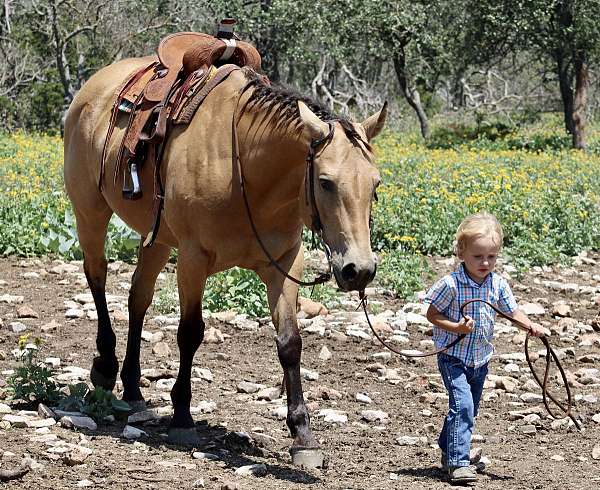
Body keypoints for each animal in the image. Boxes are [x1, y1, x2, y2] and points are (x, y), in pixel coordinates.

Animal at [63, 42, 386, 468]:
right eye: (325, 182)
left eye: (375, 184)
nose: (358, 270)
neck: (247, 169)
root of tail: (91, 89)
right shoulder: (192, 259)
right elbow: (190, 333)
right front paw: (182, 416)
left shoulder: (284, 263)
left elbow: (290, 342)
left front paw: (303, 435)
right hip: (90, 213)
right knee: (97, 276)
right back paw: (104, 367)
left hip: (157, 238)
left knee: (138, 298)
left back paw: (132, 389)